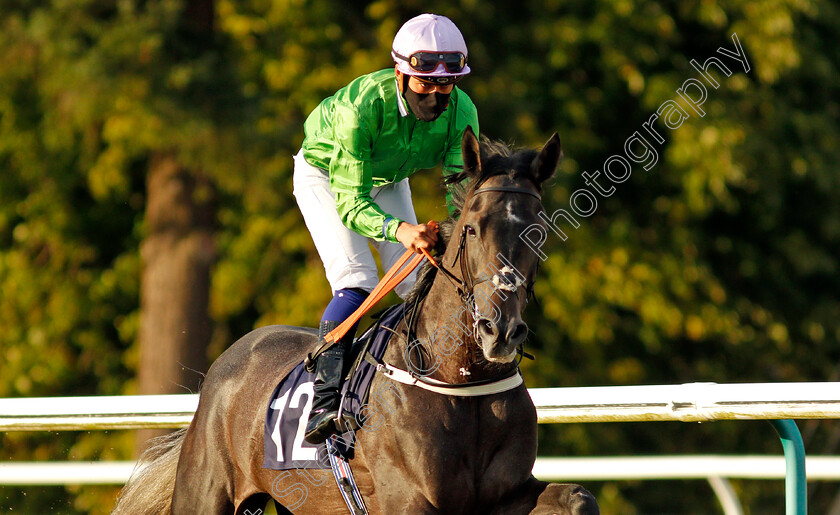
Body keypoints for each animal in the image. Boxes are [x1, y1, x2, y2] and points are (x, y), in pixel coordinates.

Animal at [113, 128, 596, 515]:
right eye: (473, 228)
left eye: (538, 229)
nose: (501, 331)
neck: (461, 379)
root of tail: (227, 363)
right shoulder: (410, 499)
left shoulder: (504, 494)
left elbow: (579, 497)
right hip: (206, 491)